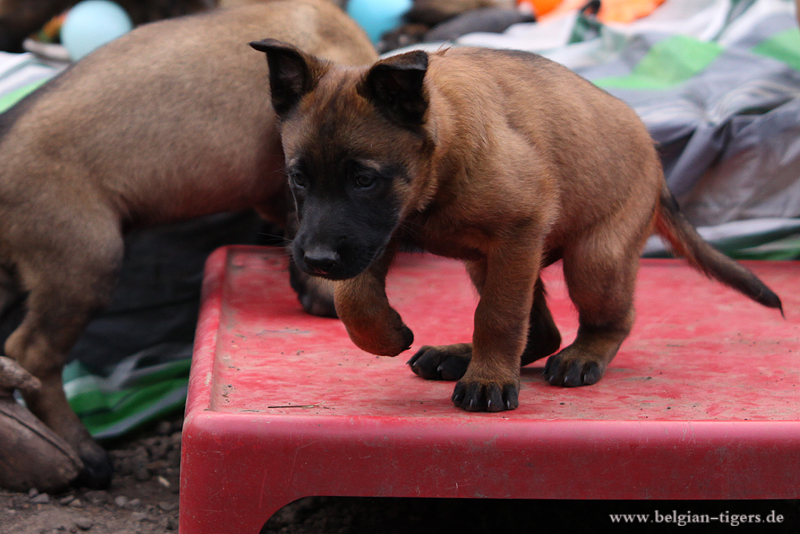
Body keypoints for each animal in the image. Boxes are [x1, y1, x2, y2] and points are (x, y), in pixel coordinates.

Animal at [249, 42, 783, 413]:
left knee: (606, 320)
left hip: (592, 260)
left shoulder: (515, 232)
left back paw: (581, 356)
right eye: (299, 178)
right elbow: (352, 298)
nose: (315, 260)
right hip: (485, 262)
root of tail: (654, 154)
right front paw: (386, 335)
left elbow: (499, 316)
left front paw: (489, 381)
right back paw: (458, 356)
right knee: (541, 332)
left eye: (364, 179)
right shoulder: (378, 235)